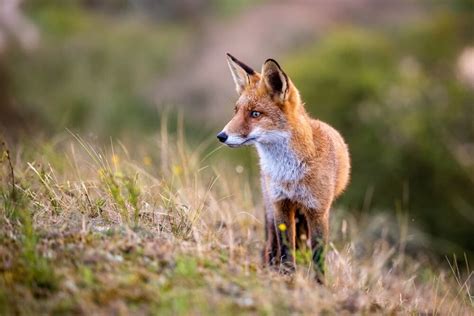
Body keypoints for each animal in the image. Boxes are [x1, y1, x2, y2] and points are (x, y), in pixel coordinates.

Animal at [217, 53, 350, 282]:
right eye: (236, 111)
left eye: (255, 114)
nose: (221, 136)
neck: (290, 173)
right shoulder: (281, 204)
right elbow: (286, 249)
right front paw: (288, 276)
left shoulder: (318, 210)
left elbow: (318, 255)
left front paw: (319, 284)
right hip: (270, 208)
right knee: (271, 245)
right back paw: (269, 268)